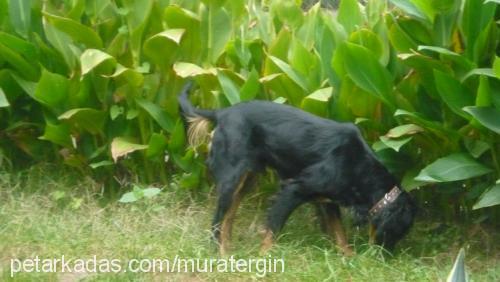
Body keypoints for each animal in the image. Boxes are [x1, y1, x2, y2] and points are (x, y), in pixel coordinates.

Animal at [178, 81, 416, 256]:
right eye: (395, 232)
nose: (385, 257)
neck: (359, 165)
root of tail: (222, 113)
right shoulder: (294, 189)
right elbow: (273, 229)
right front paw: (264, 257)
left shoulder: (327, 199)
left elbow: (339, 233)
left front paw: (349, 257)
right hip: (231, 178)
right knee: (218, 220)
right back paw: (220, 253)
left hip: (247, 179)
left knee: (228, 217)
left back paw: (227, 249)